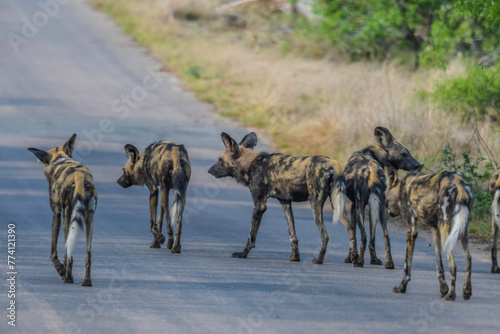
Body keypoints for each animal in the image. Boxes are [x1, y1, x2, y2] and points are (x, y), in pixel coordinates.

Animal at [27, 134, 96, 286]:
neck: (60, 159)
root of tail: (79, 176)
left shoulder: (57, 214)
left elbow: (53, 252)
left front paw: (60, 269)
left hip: (67, 217)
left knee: (68, 251)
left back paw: (67, 276)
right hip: (89, 219)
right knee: (88, 253)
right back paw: (86, 281)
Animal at [207, 132, 344, 264]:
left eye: (220, 160)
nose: (209, 170)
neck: (251, 164)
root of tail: (332, 163)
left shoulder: (259, 206)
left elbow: (251, 237)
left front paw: (243, 254)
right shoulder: (285, 203)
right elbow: (292, 234)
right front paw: (295, 257)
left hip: (315, 205)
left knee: (325, 236)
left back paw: (319, 260)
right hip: (338, 207)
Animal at [342, 126, 420, 268]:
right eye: (404, 154)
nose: (418, 165)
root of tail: (371, 167)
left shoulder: (354, 206)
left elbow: (353, 234)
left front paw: (350, 257)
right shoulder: (373, 205)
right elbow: (373, 238)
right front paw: (373, 259)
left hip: (361, 208)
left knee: (364, 236)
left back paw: (359, 262)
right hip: (382, 208)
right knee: (385, 236)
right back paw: (389, 263)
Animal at [386, 167, 472, 300]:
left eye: (385, 198)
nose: (388, 210)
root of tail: (458, 182)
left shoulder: (411, 231)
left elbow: (407, 267)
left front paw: (401, 287)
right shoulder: (434, 229)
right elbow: (439, 264)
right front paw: (443, 289)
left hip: (445, 230)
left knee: (453, 265)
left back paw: (451, 295)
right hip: (461, 229)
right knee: (468, 259)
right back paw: (466, 291)